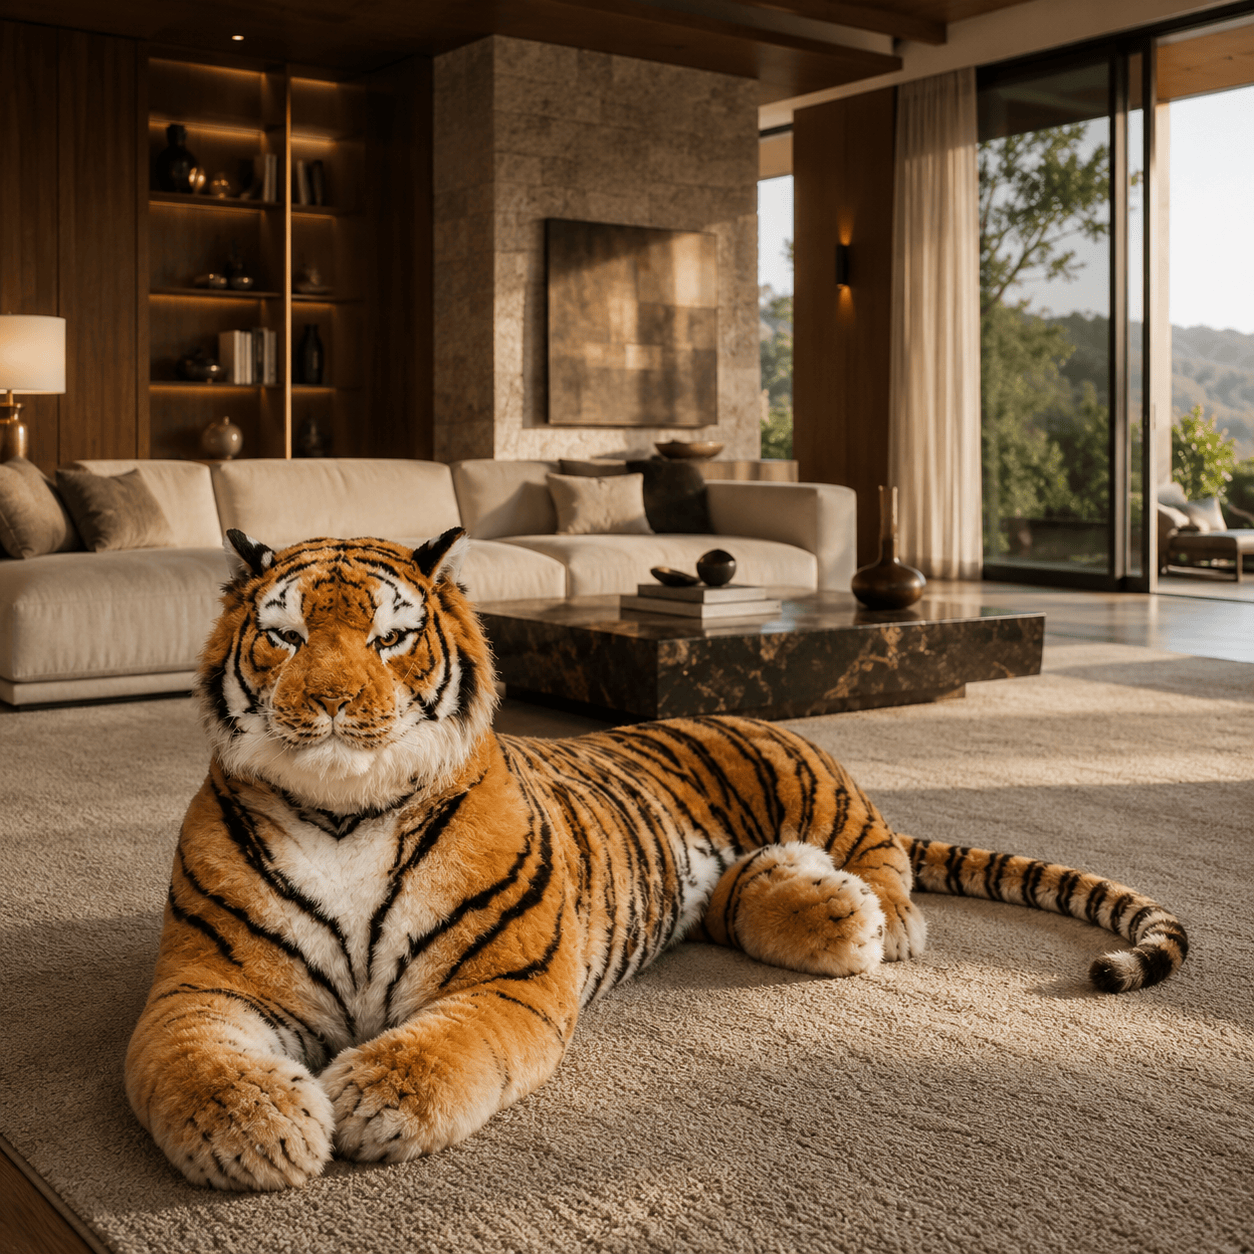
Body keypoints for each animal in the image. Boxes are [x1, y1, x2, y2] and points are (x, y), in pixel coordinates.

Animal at [124, 528, 1190, 1192]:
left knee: (892, 874)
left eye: (391, 638)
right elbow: (192, 1059)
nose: (337, 703)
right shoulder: (203, 984)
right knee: (755, 894)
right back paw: (816, 902)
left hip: (810, 783)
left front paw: (376, 1100)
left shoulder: (508, 982)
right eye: (284, 634)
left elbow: (443, 1048)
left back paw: (869, 915)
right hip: (727, 872)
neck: (346, 816)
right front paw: (252, 1135)